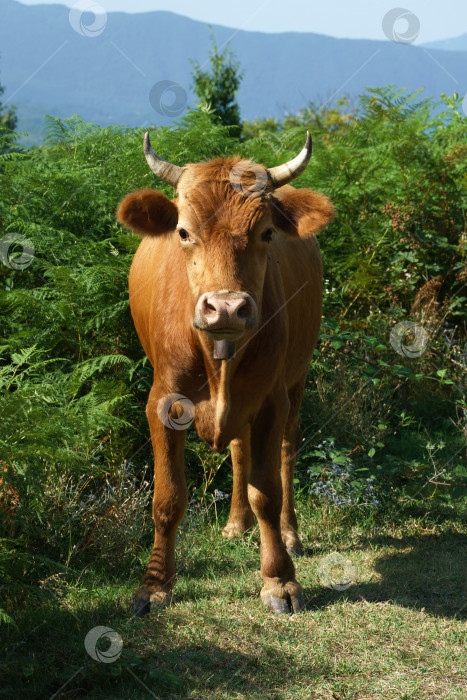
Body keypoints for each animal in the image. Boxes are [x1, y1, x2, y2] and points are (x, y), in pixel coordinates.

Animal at [117, 130, 336, 612]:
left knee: (288, 450)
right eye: (183, 232)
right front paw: (155, 584)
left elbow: (267, 491)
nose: (228, 307)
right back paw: (237, 524)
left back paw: (289, 533)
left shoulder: (272, 399)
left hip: (297, 380)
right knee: (238, 449)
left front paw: (279, 580)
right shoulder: (162, 401)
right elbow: (168, 497)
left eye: (266, 233)